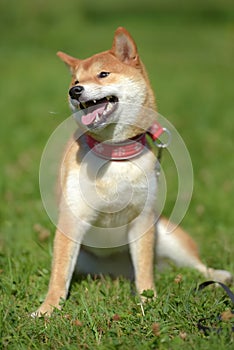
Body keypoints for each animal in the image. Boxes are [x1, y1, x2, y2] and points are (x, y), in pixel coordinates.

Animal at [33, 28, 232, 318]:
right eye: (76, 80)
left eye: (103, 74)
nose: (74, 91)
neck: (115, 154)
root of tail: (117, 271)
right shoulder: (71, 219)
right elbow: (59, 274)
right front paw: (47, 310)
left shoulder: (143, 220)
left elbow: (145, 272)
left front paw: (148, 301)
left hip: (168, 235)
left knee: (194, 265)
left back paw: (218, 276)